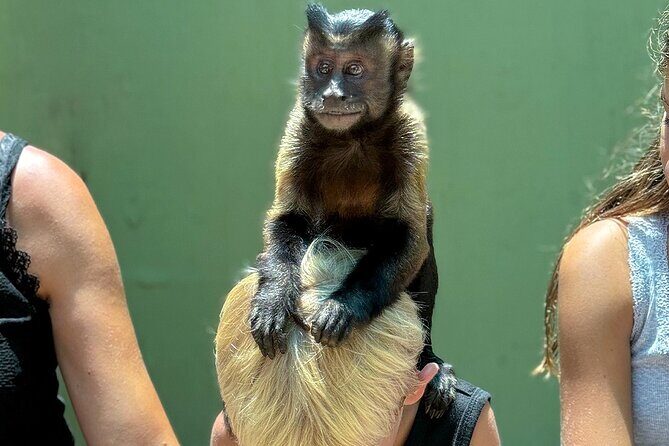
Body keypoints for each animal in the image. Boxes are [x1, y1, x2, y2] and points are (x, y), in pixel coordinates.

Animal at [247, 4, 456, 418]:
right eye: (324, 67)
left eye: (354, 69)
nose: (332, 93)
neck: (353, 138)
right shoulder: (299, 127)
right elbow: (286, 220)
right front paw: (274, 298)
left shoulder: (409, 132)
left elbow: (412, 240)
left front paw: (341, 307)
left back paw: (429, 364)